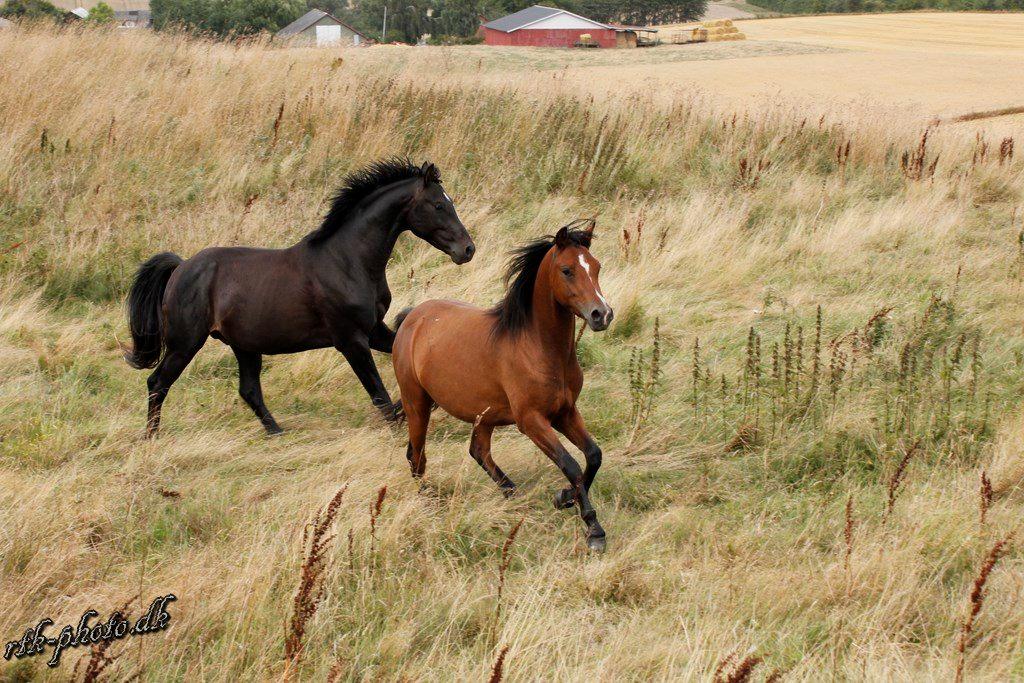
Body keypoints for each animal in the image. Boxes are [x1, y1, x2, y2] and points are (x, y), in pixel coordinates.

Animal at [123, 159, 474, 437]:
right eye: (439, 205)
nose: (467, 249)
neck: (347, 260)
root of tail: (181, 267)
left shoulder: (374, 329)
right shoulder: (350, 340)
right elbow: (378, 393)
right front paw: (399, 426)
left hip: (244, 345)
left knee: (248, 389)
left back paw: (276, 431)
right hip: (185, 344)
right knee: (157, 383)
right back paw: (152, 437)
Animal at [392, 220, 614, 551]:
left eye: (596, 266)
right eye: (566, 270)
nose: (602, 315)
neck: (537, 347)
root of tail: (411, 318)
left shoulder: (565, 412)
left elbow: (593, 455)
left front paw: (565, 499)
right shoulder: (531, 420)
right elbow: (571, 464)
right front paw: (593, 528)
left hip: (483, 415)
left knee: (478, 451)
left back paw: (512, 492)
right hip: (416, 404)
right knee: (417, 456)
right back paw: (429, 502)